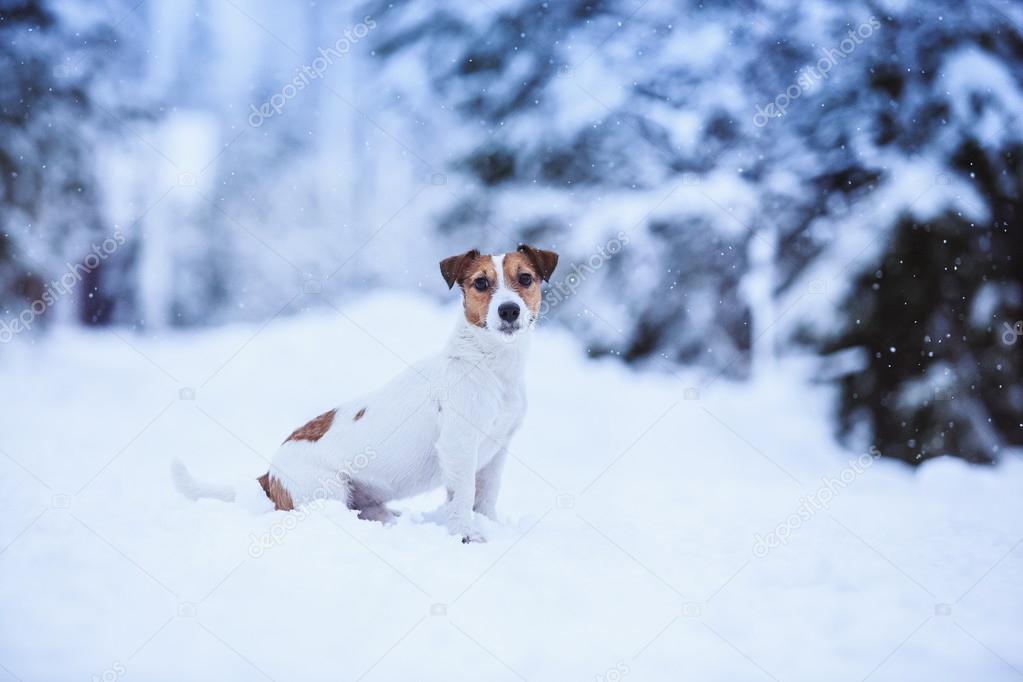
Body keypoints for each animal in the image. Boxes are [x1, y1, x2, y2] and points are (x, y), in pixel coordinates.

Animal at [175, 245, 560, 543]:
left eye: (525, 278)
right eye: (481, 282)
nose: (508, 310)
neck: (489, 365)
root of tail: (269, 476)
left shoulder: (497, 448)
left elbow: (487, 494)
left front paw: (490, 526)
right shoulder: (459, 445)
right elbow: (464, 496)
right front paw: (466, 535)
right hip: (328, 489)